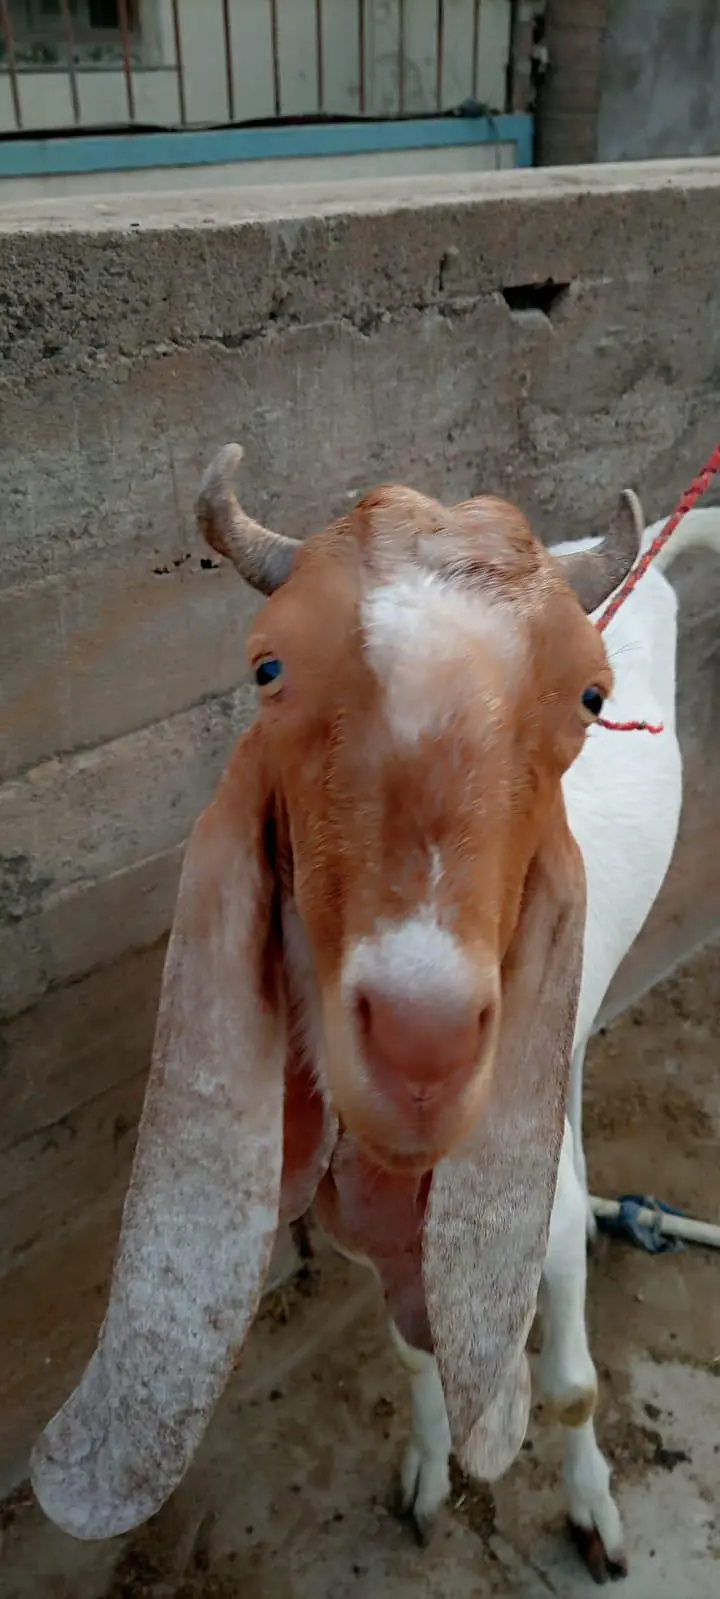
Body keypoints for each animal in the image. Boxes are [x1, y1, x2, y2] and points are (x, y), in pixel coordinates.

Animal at [31, 447, 720, 1582]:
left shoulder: (533, 1223)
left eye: (590, 696)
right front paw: (429, 1475)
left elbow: (571, 1383)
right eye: (268, 669)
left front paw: (594, 1514)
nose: (420, 1046)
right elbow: (408, 1353)